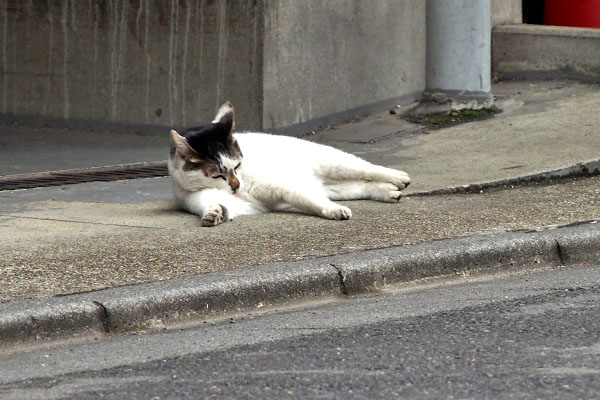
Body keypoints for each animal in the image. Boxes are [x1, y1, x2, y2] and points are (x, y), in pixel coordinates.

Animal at [170, 101, 412, 227]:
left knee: (368, 169)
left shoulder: (285, 187)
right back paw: (387, 192)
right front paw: (214, 213)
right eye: (217, 175)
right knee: (361, 186)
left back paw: (397, 178)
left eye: (237, 167)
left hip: (334, 163)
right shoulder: (216, 200)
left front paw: (332, 211)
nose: (236, 186)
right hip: (332, 187)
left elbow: (311, 201)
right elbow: (216, 205)